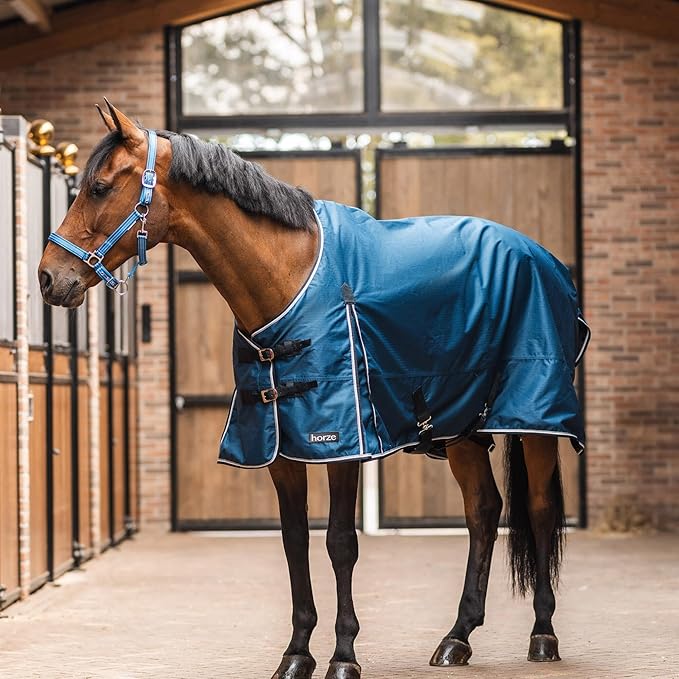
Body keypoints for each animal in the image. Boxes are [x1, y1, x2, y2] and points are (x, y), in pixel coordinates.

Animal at [39, 100, 588, 679]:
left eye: (99, 187)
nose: (49, 278)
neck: (289, 277)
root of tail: (544, 258)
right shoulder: (280, 446)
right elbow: (294, 541)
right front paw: (297, 653)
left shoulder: (343, 444)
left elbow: (340, 543)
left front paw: (344, 656)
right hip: (459, 428)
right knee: (483, 511)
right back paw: (456, 638)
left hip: (536, 423)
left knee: (540, 510)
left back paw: (543, 634)